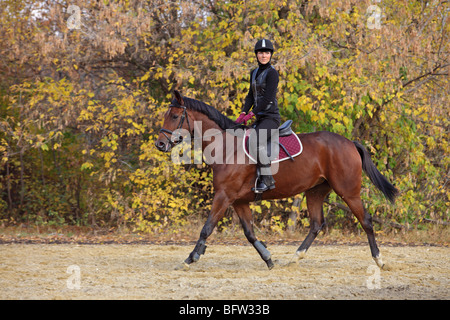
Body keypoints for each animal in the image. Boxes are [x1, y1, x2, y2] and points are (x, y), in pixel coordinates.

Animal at [155, 90, 398, 270]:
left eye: (174, 116)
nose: (160, 144)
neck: (226, 146)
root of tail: (349, 142)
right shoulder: (239, 201)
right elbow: (250, 233)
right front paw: (269, 258)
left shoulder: (224, 196)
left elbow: (207, 228)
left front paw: (190, 258)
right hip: (315, 191)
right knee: (316, 224)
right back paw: (295, 257)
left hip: (348, 192)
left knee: (366, 221)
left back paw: (379, 260)